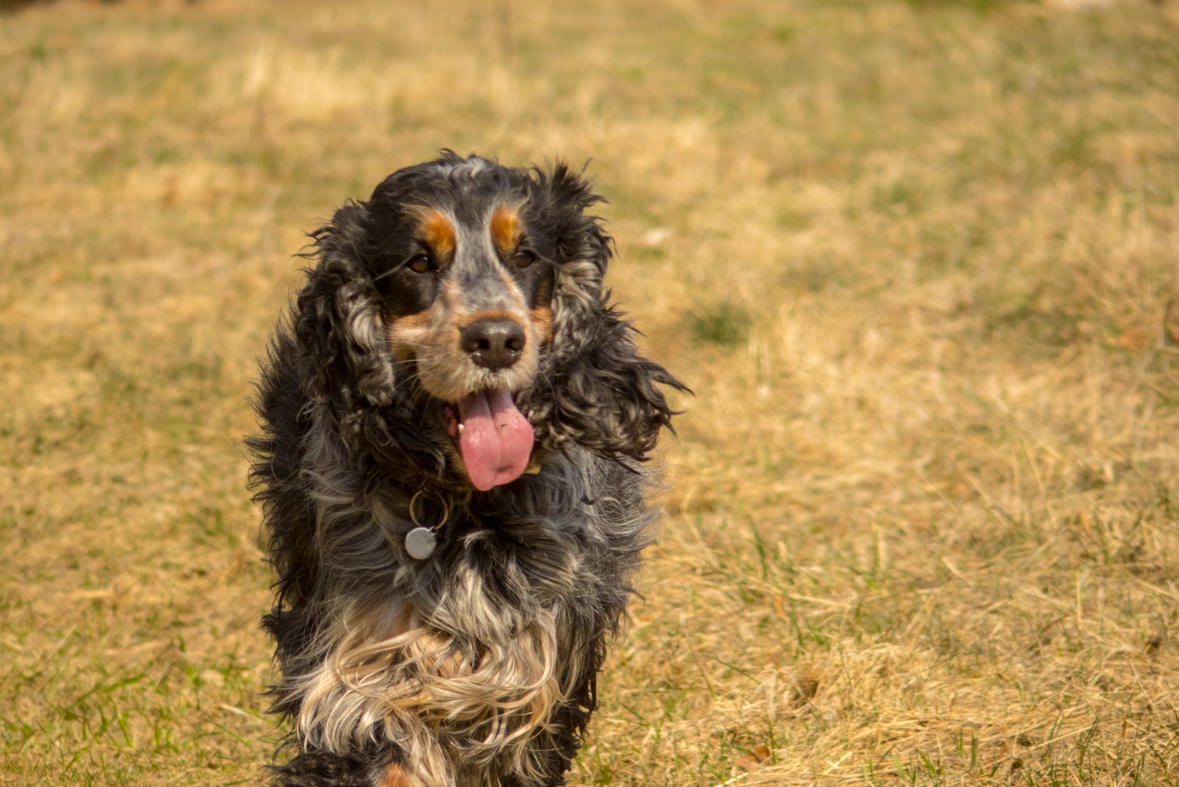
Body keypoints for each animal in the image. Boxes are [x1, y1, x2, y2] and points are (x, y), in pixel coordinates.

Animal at [251, 153, 688, 787]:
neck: (463, 501)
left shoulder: (536, 658)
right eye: (418, 261)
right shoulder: (358, 666)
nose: (497, 339)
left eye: (525, 256)